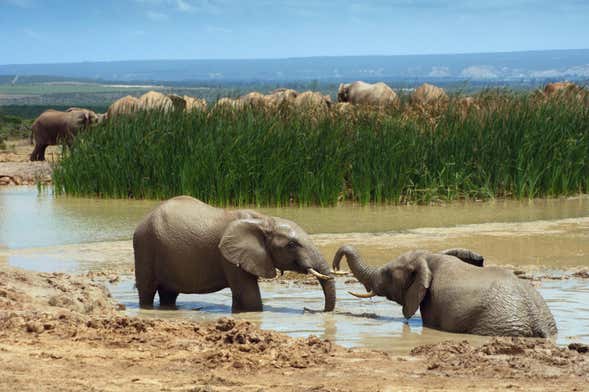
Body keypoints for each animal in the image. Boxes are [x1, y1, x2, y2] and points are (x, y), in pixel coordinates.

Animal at [134, 196, 336, 312]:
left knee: (169, 293)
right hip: (145, 246)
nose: (311, 310)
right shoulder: (229, 256)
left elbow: (240, 296)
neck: (265, 220)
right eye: (292, 245)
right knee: (147, 290)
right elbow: (248, 295)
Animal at [334, 245, 560, 336]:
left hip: (495, 324)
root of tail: (539, 324)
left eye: (388, 274)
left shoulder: (432, 302)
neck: (429, 256)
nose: (335, 266)